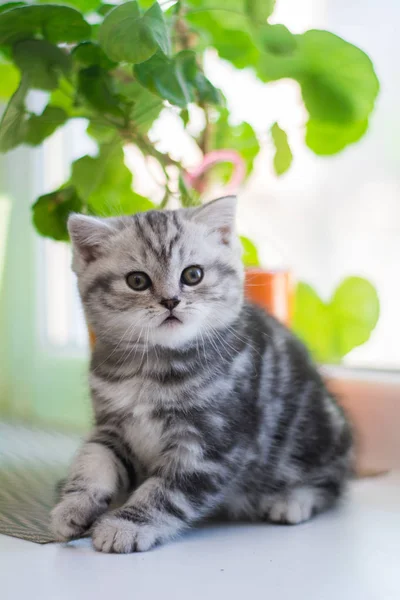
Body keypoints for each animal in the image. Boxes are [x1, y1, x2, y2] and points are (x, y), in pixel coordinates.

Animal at [50, 197, 354, 552]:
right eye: (137, 281)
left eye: (192, 275)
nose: (170, 300)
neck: (153, 368)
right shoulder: (112, 426)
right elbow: (93, 461)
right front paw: (73, 505)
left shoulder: (210, 445)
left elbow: (165, 492)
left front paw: (125, 524)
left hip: (317, 434)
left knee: (331, 482)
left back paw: (292, 500)